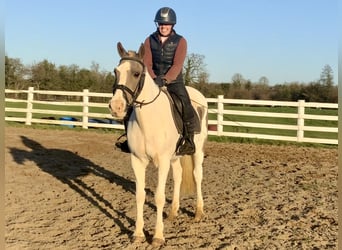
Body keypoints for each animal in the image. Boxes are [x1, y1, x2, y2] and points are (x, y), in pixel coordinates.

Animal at [108, 42, 207, 246]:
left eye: (136, 73)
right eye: (116, 71)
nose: (116, 107)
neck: (149, 119)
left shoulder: (162, 161)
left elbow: (159, 197)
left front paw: (158, 236)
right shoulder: (137, 160)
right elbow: (140, 195)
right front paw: (138, 234)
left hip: (197, 151)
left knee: (197, 175)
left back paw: (198, 212)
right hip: (175, 157)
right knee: (178, 176)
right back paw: (173, 212)